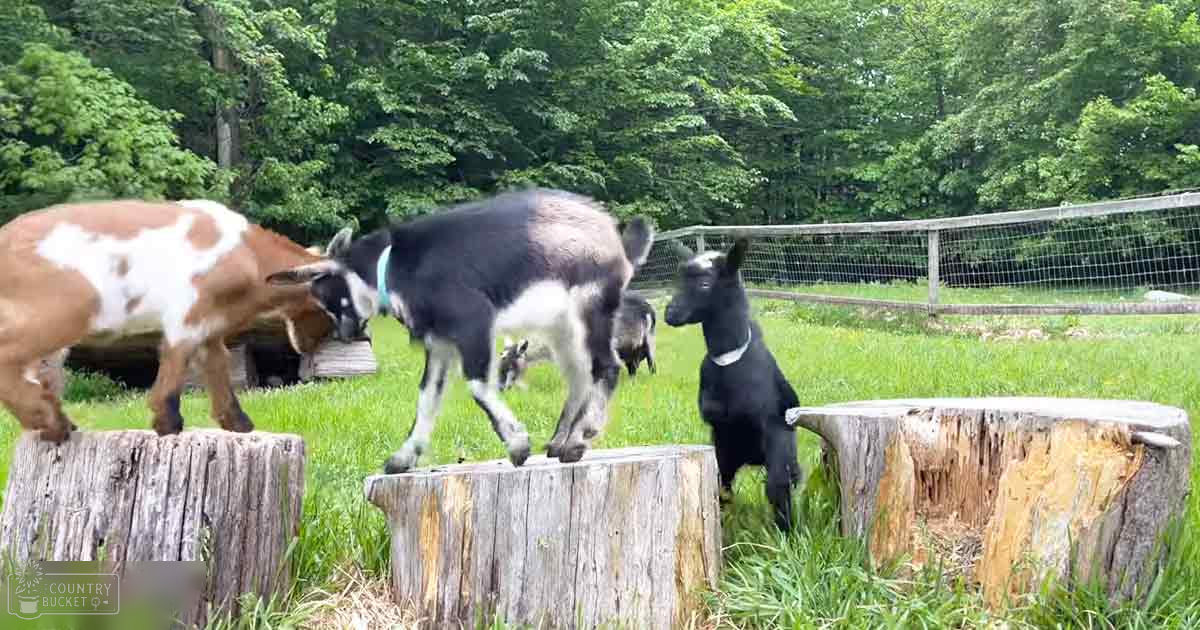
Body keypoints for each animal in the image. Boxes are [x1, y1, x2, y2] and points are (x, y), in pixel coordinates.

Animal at [0, 199, 337, 441]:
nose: (313, 344)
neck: (250, 254)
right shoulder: (188, 313)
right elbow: (177, 362)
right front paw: (168, 423)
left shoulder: (210, 327)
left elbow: (218, 366)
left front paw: (239, 424)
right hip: (65, 311)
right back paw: (52, 421)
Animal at [267, 188, 654, 471]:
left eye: (328, 299)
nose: (347, 336)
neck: (393, 268)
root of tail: (616, 240)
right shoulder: (440, 343)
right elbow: (427, 398)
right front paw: (402, 458)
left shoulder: (473, 321)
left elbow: (477, 386)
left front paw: (517, 445)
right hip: (563, 331)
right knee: (580, 378)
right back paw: (560, 443)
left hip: (589, 311)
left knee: (607, 367)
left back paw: (577, 441)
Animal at [663, 238, 802, 531]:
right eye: (680, 280)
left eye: (706, 283)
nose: (670, 313)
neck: (730, 361)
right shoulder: (720, 437)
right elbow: (720, 490)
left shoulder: (775, 429)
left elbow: (777, 486)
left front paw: (786, 534)